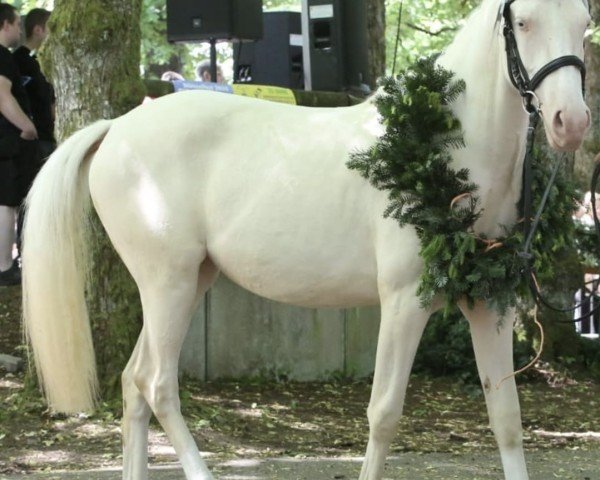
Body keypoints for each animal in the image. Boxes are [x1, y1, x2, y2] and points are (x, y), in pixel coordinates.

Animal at [22, 0, 592, 480]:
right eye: (523, 22)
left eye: (585, 23)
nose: (571, 122)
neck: (447, 147)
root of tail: (115, 128)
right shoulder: (404, 301)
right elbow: (385, 413)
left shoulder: (489, 303)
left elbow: (507, 418)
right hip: (169, 284)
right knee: (158, 385)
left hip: (188, 282)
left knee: (133, 383)